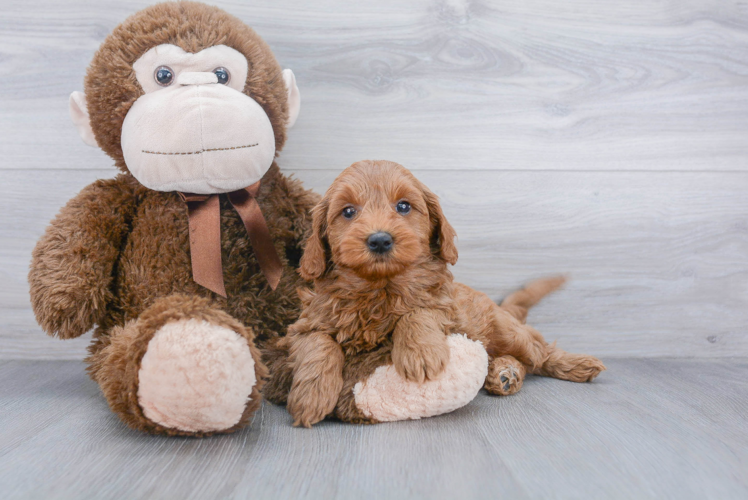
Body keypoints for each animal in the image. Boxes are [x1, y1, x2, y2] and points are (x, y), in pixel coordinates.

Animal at [266, 160, 604, 426]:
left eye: (403, 206)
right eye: (348, 212)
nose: (379, 240)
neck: (380, 287)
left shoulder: (444, 305)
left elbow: (418, 311)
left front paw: (419, 353)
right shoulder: (303, 325)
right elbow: (318, 344)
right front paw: (312, 394)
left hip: (505, 331)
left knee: (539, 351)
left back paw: (575, 364)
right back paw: (504, 374)